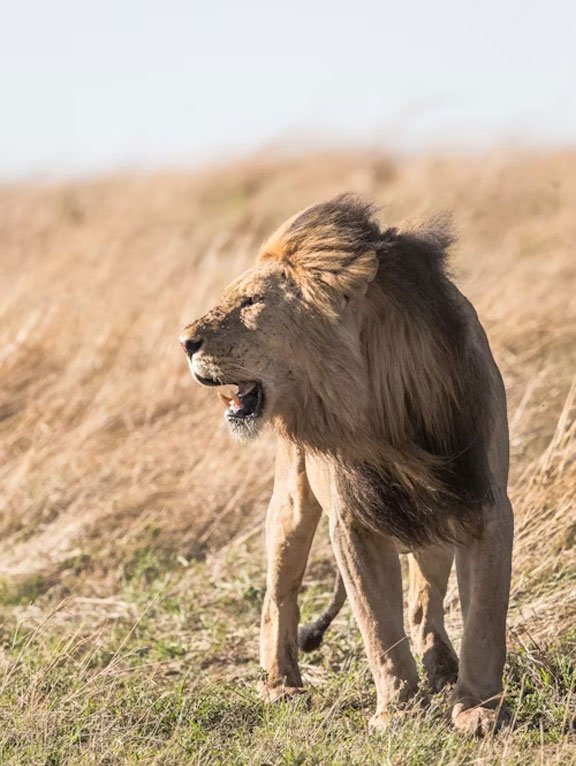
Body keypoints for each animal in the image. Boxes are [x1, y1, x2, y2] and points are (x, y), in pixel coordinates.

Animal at [180, 195, 513, 736]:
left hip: (434, 520)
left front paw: (479, 711)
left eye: (251, 303)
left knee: (424, 601)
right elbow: (378, 625)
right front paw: (398, 712)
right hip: (292, 502)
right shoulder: (353, 522)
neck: (382, 409)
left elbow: (484, 617)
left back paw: (442, 665)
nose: (184, 342)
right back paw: (281, 685)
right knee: (279, 595)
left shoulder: (481, 503)